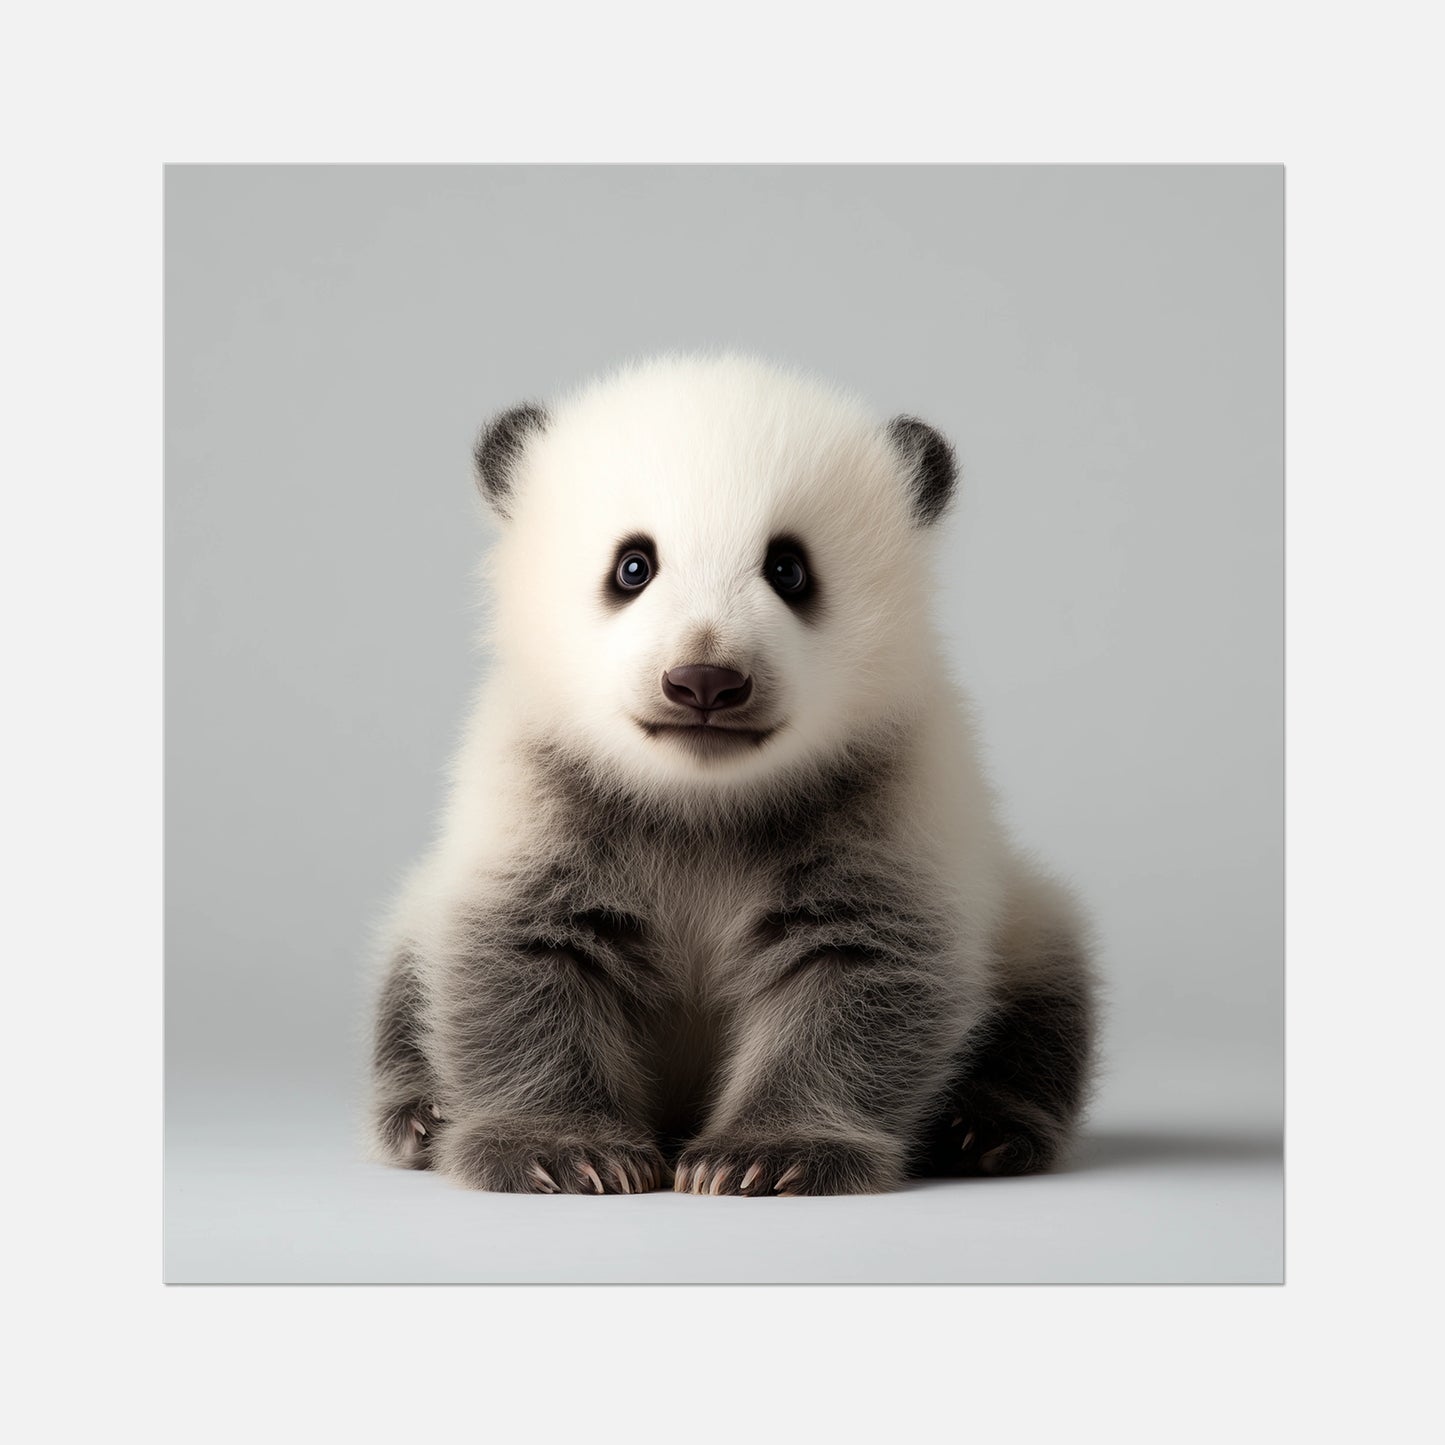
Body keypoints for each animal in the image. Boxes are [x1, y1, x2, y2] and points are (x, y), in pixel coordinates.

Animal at [369, 353, 1095, 1195]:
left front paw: (766, 1154)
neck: (702, 798)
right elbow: (523, 958)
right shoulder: (539, 788)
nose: (705, 681)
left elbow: (860, 973)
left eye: (788, 568)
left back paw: (982, 1129)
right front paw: (561, 1150)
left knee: (1046, 1002)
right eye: (633, 566)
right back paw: (421, 1115)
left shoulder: (891, 791)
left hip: (1022, 915)